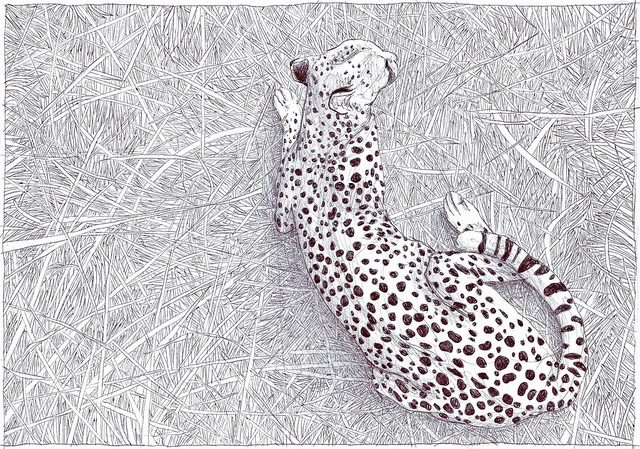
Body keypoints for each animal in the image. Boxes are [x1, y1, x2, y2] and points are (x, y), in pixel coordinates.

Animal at [273, 39, 586, 427]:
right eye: (373, 66)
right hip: (443, 267)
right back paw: (469, 223)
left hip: (424, 394)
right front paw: (291, 110)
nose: (391, 57)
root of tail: (542, 392)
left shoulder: (286, 214)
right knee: (505, 265)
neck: (328, 129)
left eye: (359, 48)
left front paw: (290, 106)